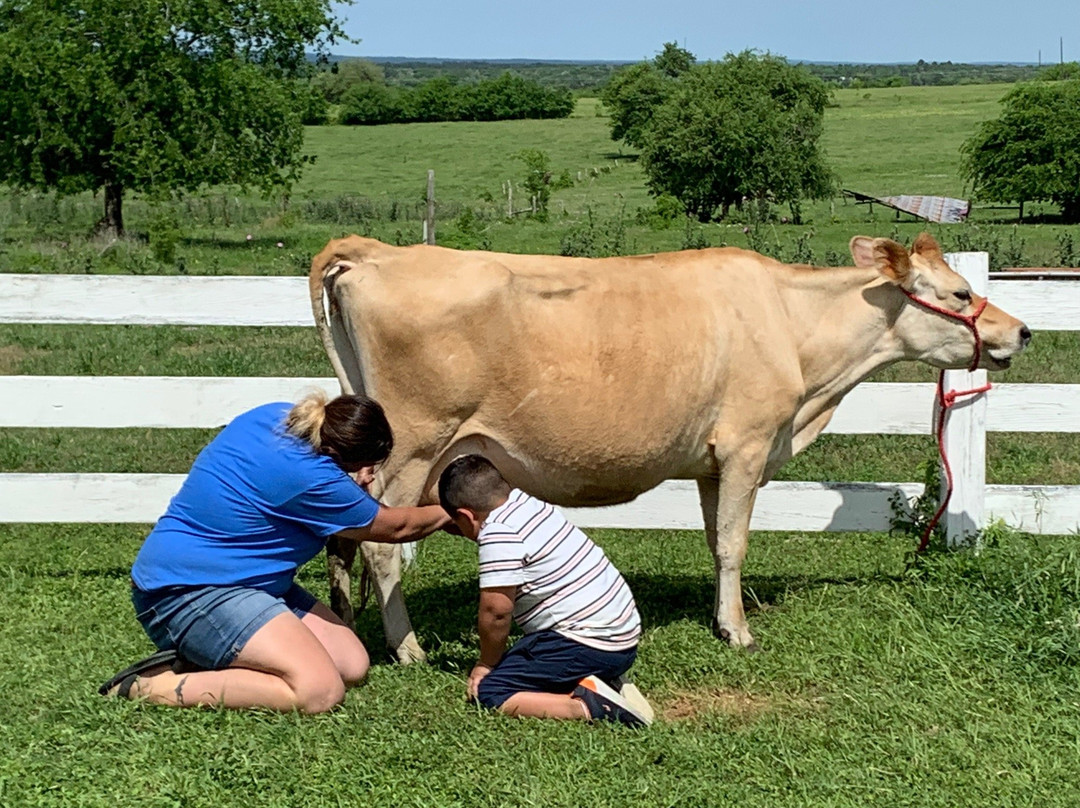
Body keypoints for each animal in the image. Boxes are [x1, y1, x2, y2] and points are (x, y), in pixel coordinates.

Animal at [306, 230, 1028, 661]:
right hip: (415, 443)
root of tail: (377, 249)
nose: (1020, 331)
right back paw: (408, 650)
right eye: (961, 291)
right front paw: (738, 631)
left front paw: (721, 616)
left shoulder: (714, 461)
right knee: (378, 544)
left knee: (345, 537)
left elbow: (715, 542)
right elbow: (736, 544)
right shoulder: (747, 444)